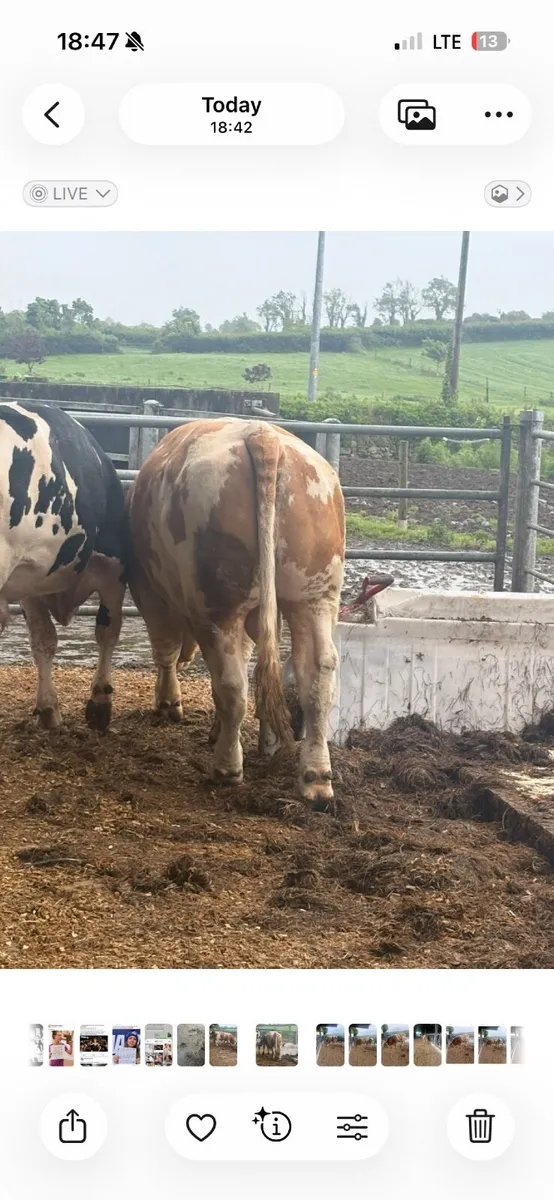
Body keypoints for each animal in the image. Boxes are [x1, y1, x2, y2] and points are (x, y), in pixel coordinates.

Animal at [127, 419, 345, 806]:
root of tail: (264, 436)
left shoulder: (148, 592)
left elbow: (165, 649)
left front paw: (168, 703)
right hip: (316, 594)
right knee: (318, 675)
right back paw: (316, 777)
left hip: (218, 604)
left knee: (231, 685)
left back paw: (226, 768)